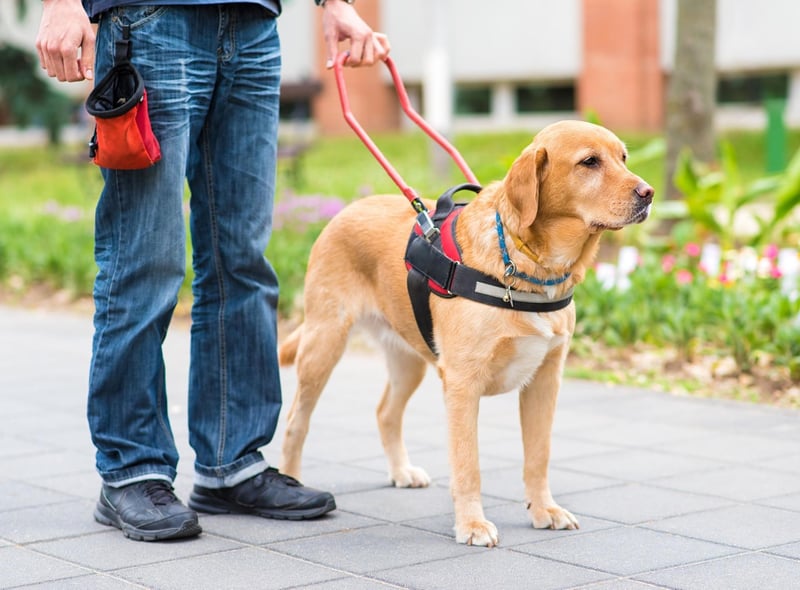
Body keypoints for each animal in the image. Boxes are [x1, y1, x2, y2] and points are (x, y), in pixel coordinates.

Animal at [278, 121, 652, 552]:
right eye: (589, 162)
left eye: (623, 158)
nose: (649, 193)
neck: (530, 266)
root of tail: (347, 208)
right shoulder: (462, 384)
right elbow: (467, 464)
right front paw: (472, 524)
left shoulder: (545, 381)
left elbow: (538, 456)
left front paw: (544, 509)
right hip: (324, 345)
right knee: (296, 420)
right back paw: (291, 482)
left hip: (409, 360)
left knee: (385, 412)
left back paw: (401, 471)